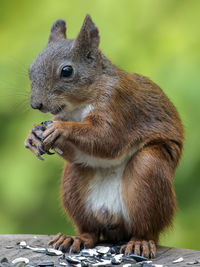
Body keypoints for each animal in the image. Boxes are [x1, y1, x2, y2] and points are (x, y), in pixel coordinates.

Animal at [25, 15, 184, 260]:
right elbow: (76, 151)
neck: (78, 105)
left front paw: (62, 129)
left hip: (148, 172)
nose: (36, 105)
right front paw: (33, 135)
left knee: (146, 228)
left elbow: (108, 138)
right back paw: (75, 239)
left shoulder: (119, 103)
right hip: (74, 184)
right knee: (91, 232)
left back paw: (140, 242)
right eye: (31, 69)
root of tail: (114, 222)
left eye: (67, 71)